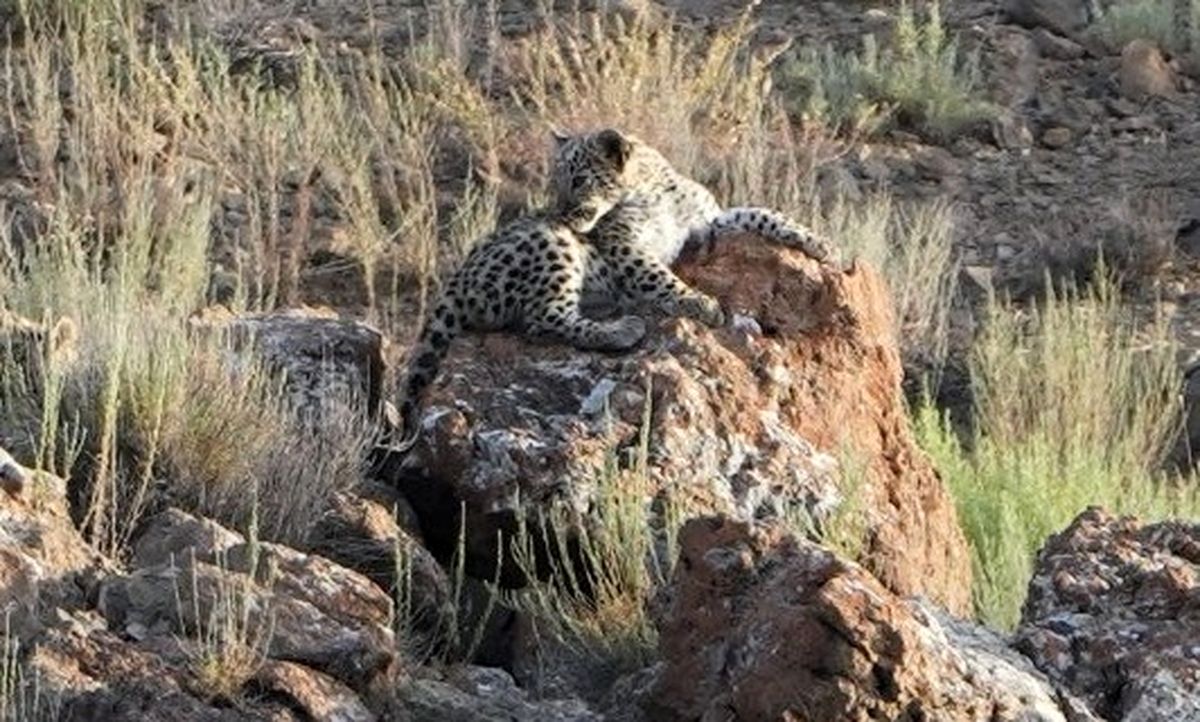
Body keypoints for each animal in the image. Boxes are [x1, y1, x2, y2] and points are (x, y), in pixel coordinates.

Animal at [388, 126, 840, 446]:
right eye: (555, 181)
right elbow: (660, 277)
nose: (559, 210)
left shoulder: (708, 222)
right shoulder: (626, 246)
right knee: (542, 319)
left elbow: (761, 214)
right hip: (553, 244)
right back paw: (624, 328)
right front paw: (701, 303)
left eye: (579, 179)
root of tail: (453, 284)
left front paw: (819, 243)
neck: (653, 186)